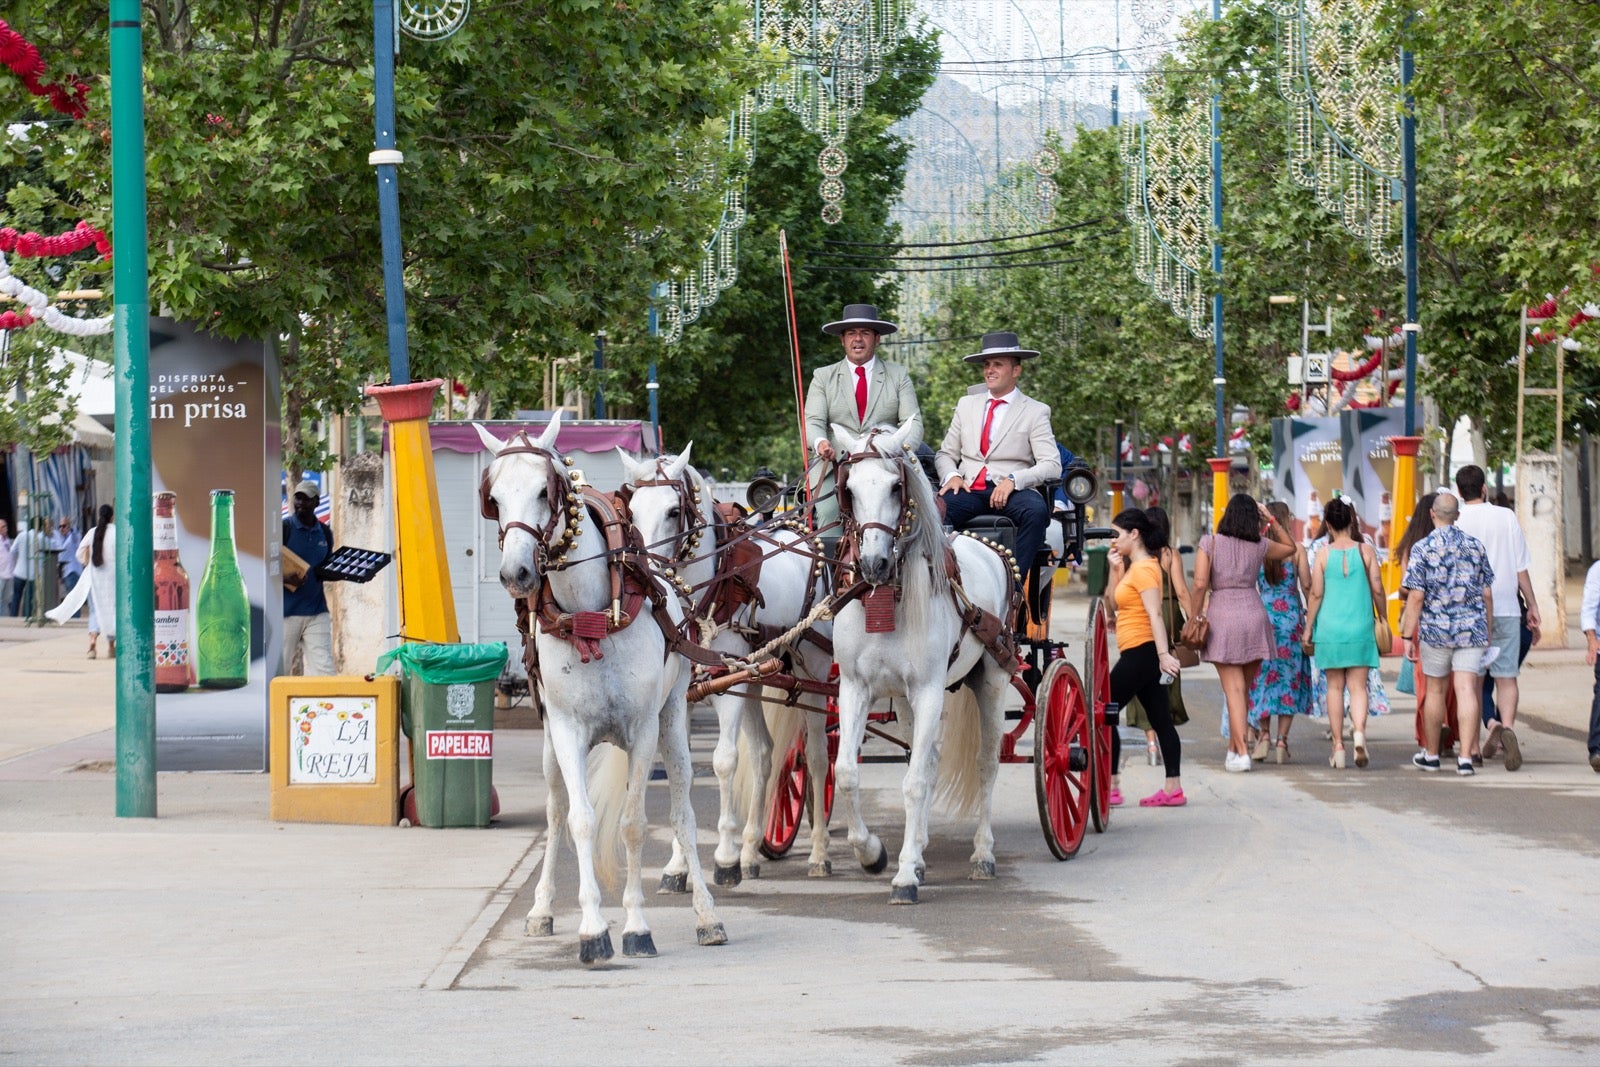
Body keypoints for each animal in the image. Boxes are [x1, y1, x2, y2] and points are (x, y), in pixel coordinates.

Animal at [473, 419, 726, 966]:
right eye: (494, 498)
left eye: (544, 491)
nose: (515, 574)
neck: (589, 611)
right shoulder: (567, 731)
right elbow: (580, 821)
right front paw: (592, 929)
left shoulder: (643, 729)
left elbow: (633, 824)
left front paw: (636, 926)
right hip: (552, 747)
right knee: (554, 812)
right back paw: (542, 909)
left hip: (671, 723)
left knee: (682, 811)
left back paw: (706, 912)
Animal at [614, 447, 838, 883]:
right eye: (631, 511)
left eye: (673, 511)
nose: (649, 572)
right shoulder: (683, 696)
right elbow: (681, 767)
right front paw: (678, 865)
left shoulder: (726, 691)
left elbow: (723, 762)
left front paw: (724, 857)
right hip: (754, 678)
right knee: (765, 754)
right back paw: (752, 851)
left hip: (814, 671)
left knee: (820, 755)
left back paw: (821, 851)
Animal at [825, 422, 1011, 908]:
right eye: (849, 489)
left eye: (896, 486)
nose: (873, 563)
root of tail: (986, 544)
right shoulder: (855, 687)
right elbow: (847, 772)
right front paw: (873, 853)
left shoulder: (928, 690)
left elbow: (913, 783)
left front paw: (905, 874)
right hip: (909, 702)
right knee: (926, 760)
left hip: (992, 680)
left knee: (986, 763)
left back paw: (983, 854)